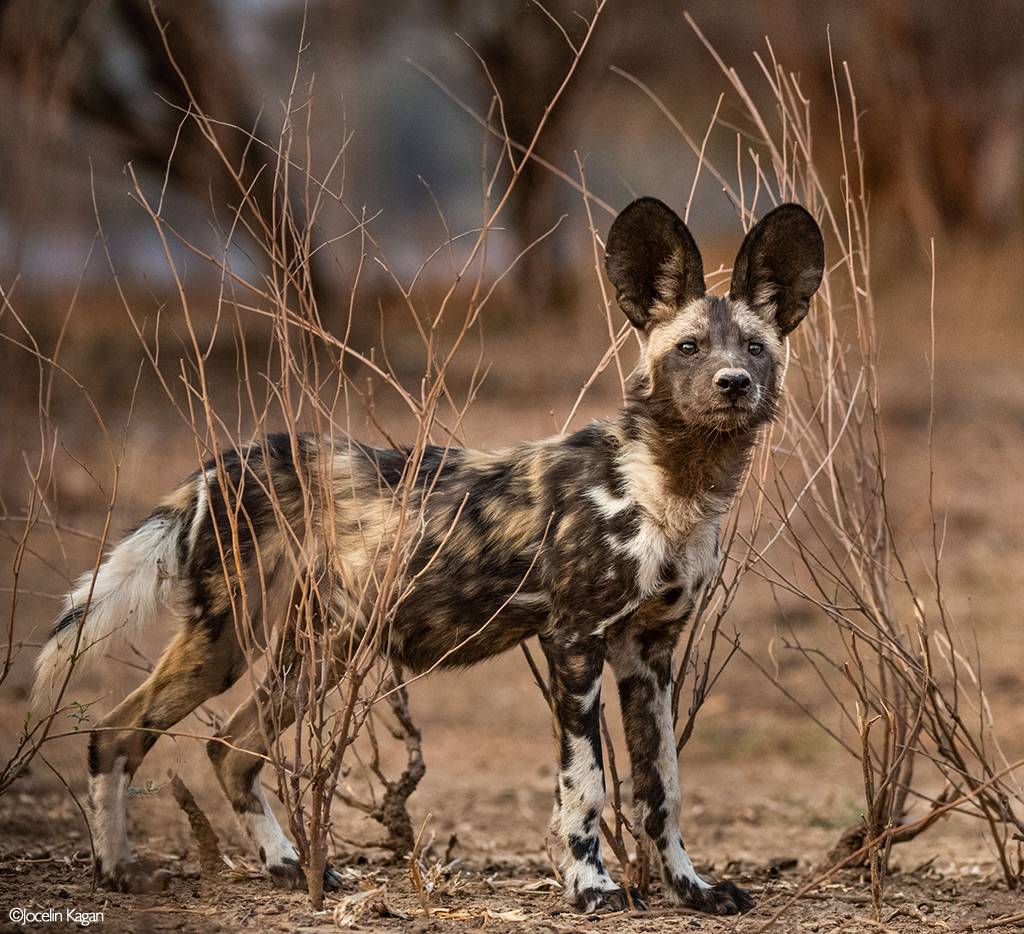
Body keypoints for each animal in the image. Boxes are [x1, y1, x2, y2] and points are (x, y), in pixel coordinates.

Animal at [34, 195, 823, 913]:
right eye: (689, 349)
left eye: (754, 348)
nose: (734, 385)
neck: (670, 485)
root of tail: (227, 459)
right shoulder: (575, 642)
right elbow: (587, 785)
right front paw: (591, 887)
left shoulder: (649, 654)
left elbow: (664, 788)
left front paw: (693, 889)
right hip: (233, 635)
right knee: (116, 734)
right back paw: (119, 873)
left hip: (316, 652)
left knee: (228, 748)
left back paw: (287, 867)